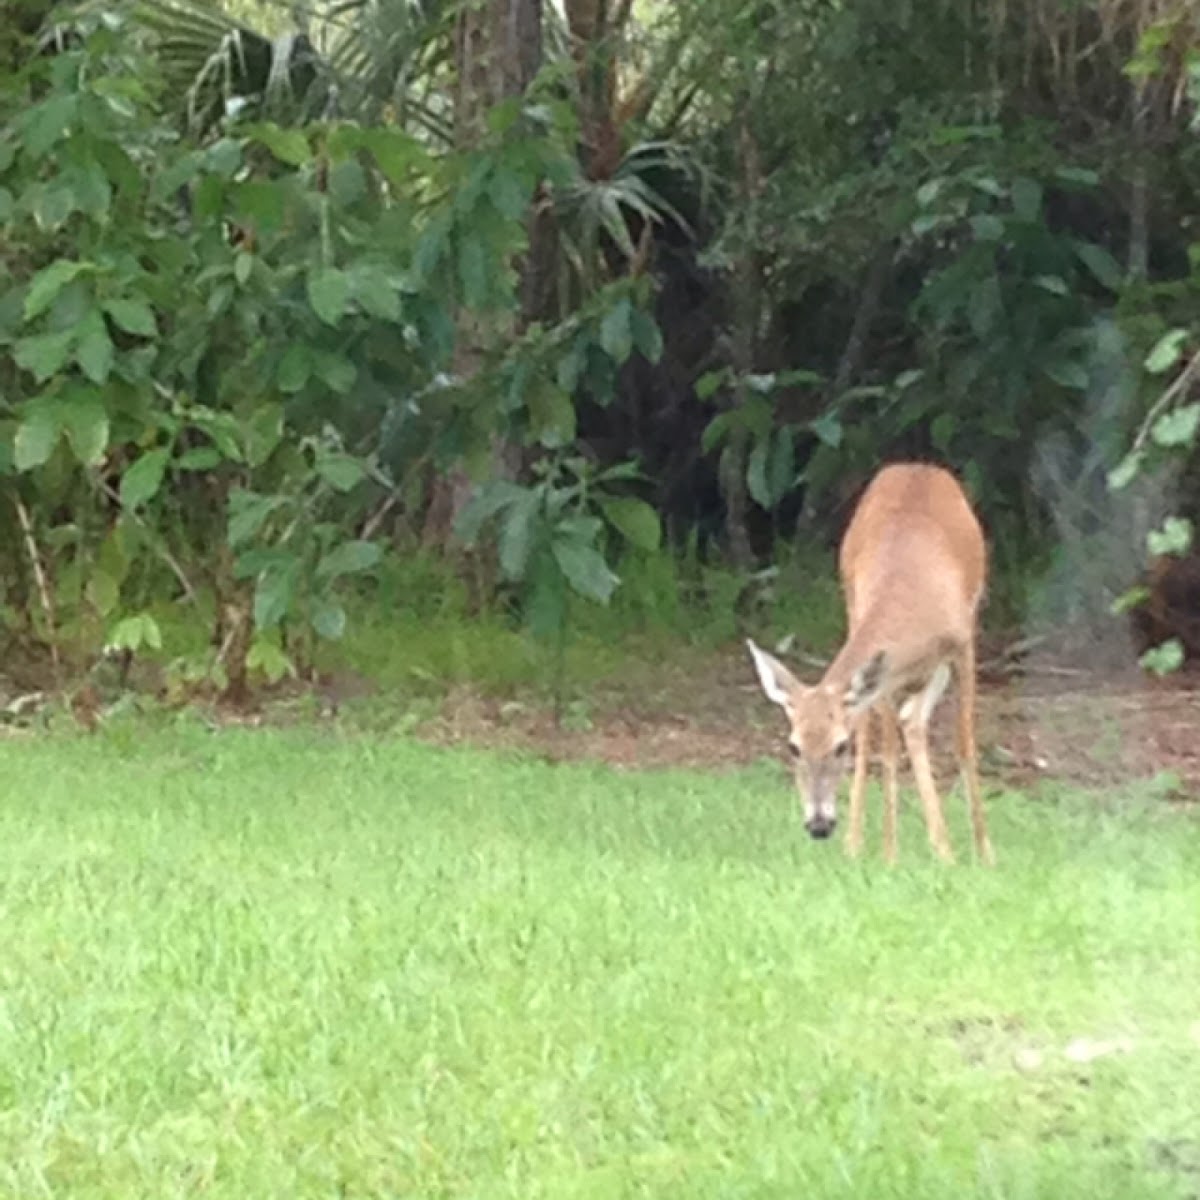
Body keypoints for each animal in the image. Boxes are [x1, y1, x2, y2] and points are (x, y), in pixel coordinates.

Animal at [748, 458, 993, 864]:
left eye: (838, 747)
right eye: (793, 746)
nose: (818, 826)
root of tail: (915, 465)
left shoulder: (963, 644)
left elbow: (964, 744)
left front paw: (986, 854)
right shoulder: (884, 672)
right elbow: (886, 753)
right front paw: (888, 855)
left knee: (912, 720)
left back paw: (944, 849)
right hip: (853, 611)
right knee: (901, 723)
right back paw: (882, 844)